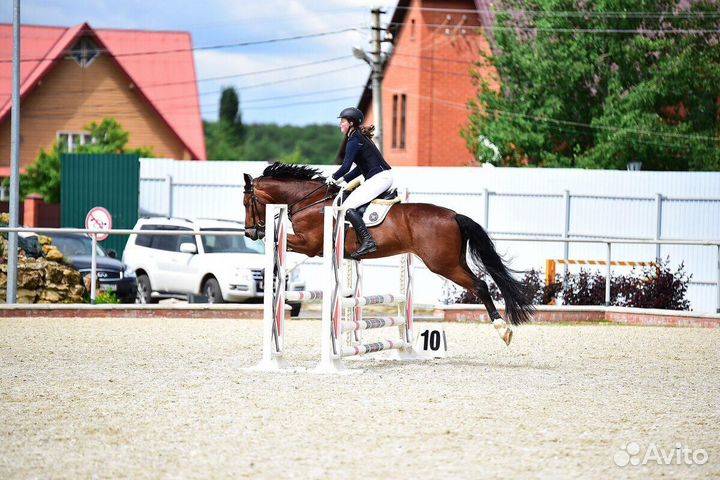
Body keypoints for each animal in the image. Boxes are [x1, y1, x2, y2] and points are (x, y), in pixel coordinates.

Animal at [245, 163, 532, 344]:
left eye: (248, 202)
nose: (250, 232)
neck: (308, 202)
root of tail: (453, 215)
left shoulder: (310, 244)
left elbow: (278, 242)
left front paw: (273, 269)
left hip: (443, 265)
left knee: (480, 285)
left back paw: (503, 330)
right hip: (454, 260)